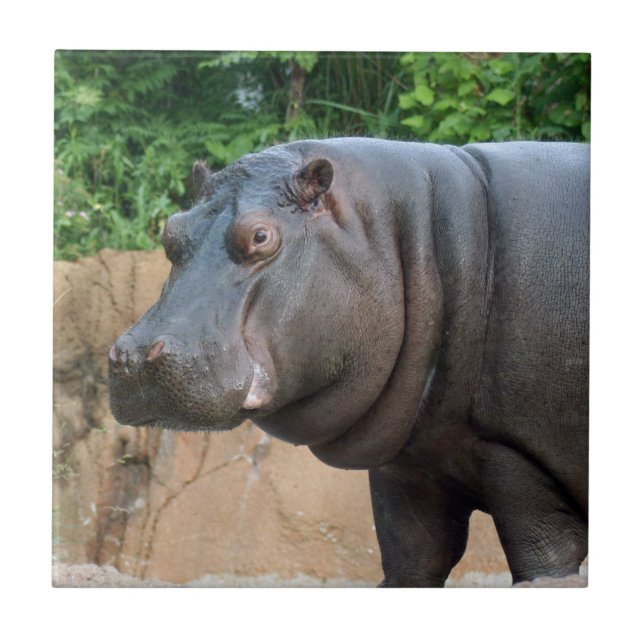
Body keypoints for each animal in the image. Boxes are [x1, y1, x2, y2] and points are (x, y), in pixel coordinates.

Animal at [109, 137, 589, 587]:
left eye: (260, 236)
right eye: (171, 233)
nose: (133, 355)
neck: (433, 236)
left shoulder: (518, 463)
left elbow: (545, 564)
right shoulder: (411, 466)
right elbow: (412, 559)